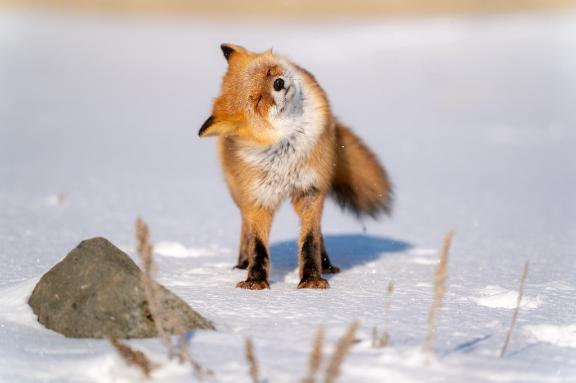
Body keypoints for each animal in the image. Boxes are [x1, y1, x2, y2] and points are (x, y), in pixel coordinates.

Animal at [198, 43, 392, 292]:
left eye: (270, 72)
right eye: (257, 100)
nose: (279, 83)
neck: (285, 152)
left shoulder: (310, 190)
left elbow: (310, 241)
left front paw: (311, 280)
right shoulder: (258, 198)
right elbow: (257, 245)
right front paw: (255, 281)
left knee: (319, 232)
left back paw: (326, 264)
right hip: (239, 193)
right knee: (245, 227)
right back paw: (242, 262)